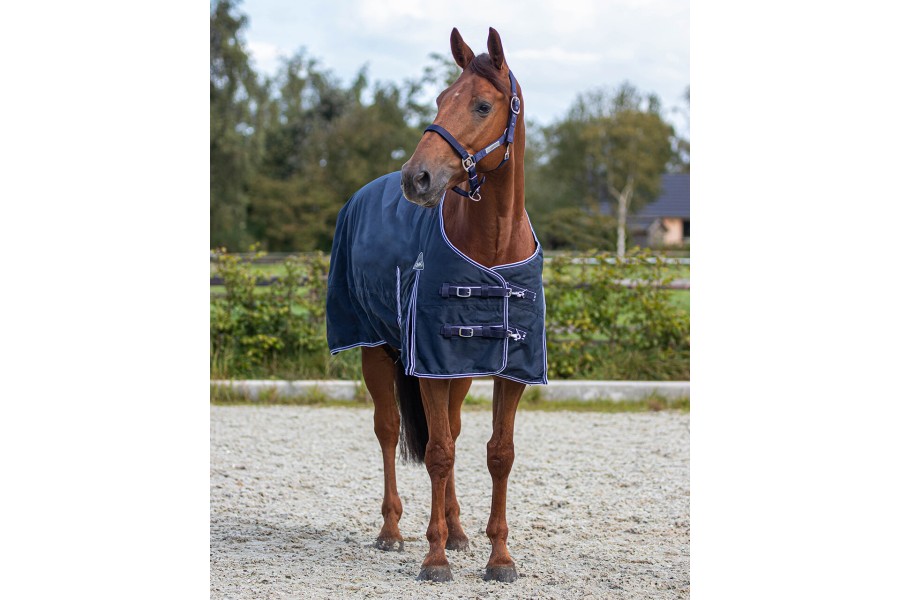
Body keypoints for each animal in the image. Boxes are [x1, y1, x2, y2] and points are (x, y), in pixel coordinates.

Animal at [325, 27, 546, 583]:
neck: (492, 247)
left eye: (483, 104)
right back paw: (391, 531)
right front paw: (435, 557)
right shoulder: (427, 365)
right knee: (389, 431)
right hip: (375, 350)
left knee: (451, 431)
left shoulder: (509, 370)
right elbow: (438, 453)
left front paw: (499, 557)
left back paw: (459, 529)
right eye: (442, 99)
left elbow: (498, 454)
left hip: (458, 372)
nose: (417, 178)